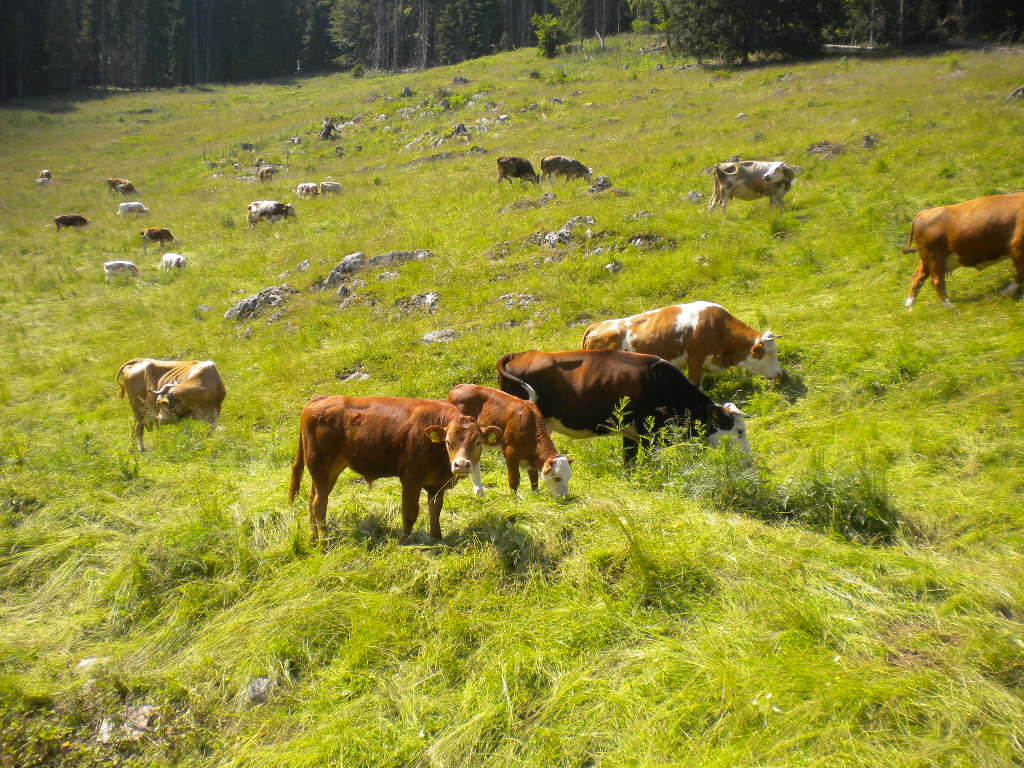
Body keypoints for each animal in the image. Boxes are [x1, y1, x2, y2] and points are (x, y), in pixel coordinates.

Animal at [288, 397, 499, 548]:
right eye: (448, 441)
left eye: (478, 442)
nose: (461, 465)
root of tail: (320, 399)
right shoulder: (411, 479)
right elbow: (410, 512)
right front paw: (405, 542)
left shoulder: (437, 484)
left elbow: (435, 510)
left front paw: (436, 538)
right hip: (320, 465)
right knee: (319, 504)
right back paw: (325, 542)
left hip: (330, 469)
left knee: (313, 500)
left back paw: (313, 538)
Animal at [497, 350, 753, 468]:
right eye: (738, 432)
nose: (749, 462)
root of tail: (520, 354)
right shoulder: (650, 435)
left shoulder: (631, 434)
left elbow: (629, 463)